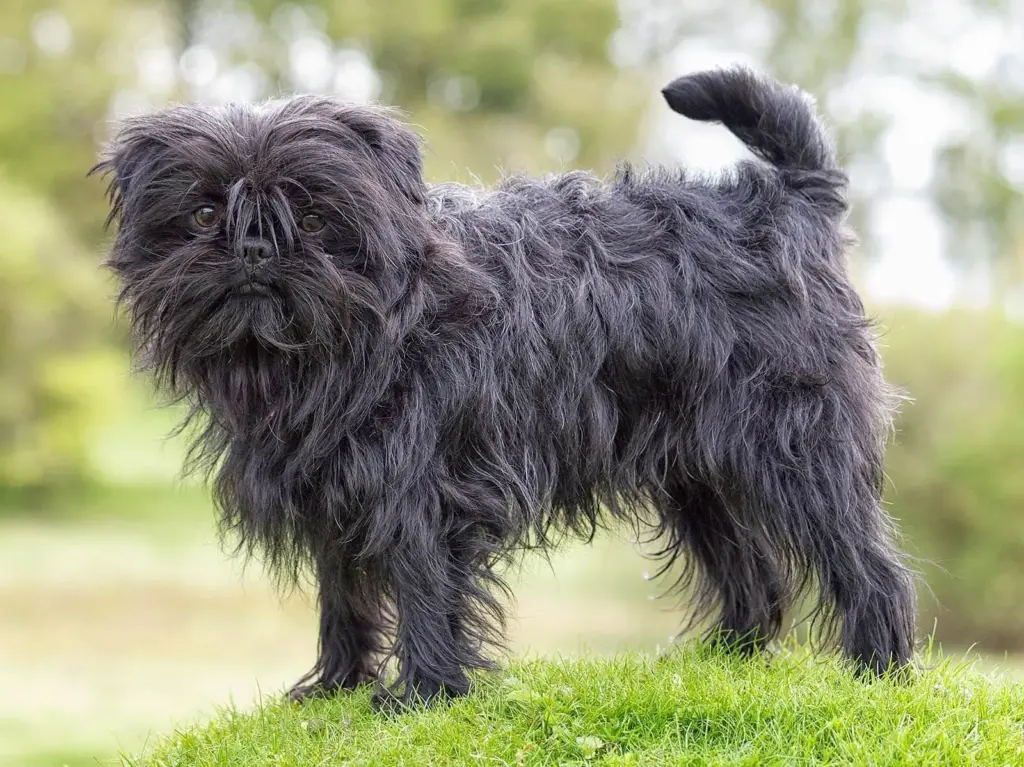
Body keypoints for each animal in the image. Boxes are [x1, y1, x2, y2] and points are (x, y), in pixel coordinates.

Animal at [94, 68, 913, 708]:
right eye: (204, 212)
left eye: (317, 216)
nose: (256, 246)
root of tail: (787, 202)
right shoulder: (333, 485)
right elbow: (344, 593)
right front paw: (336, 687)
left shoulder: (421, 486)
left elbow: (423, 585)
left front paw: (422, 696)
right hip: (694, 465)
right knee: (751, 573)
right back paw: (724, 663)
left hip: (797, 446)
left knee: (866, 564)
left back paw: (878, 672)